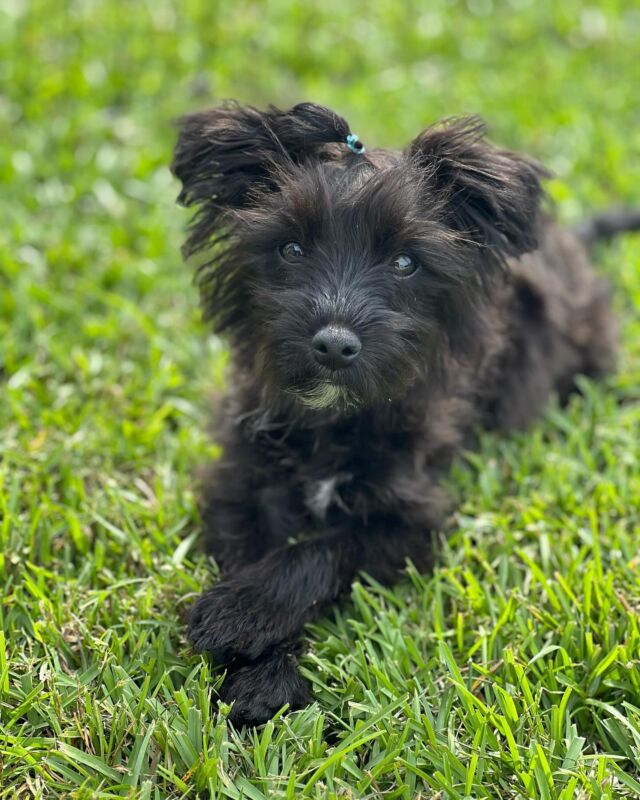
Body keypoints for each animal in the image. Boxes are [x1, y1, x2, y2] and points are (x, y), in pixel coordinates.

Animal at [172, 100, 636, 724]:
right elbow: (256, 548)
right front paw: (263, 664)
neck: (334, 423)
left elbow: (326, 546)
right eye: (290, 249)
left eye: (405, 263)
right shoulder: (241, 486)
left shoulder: (412, 522)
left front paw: (245, 614)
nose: (334, 345)